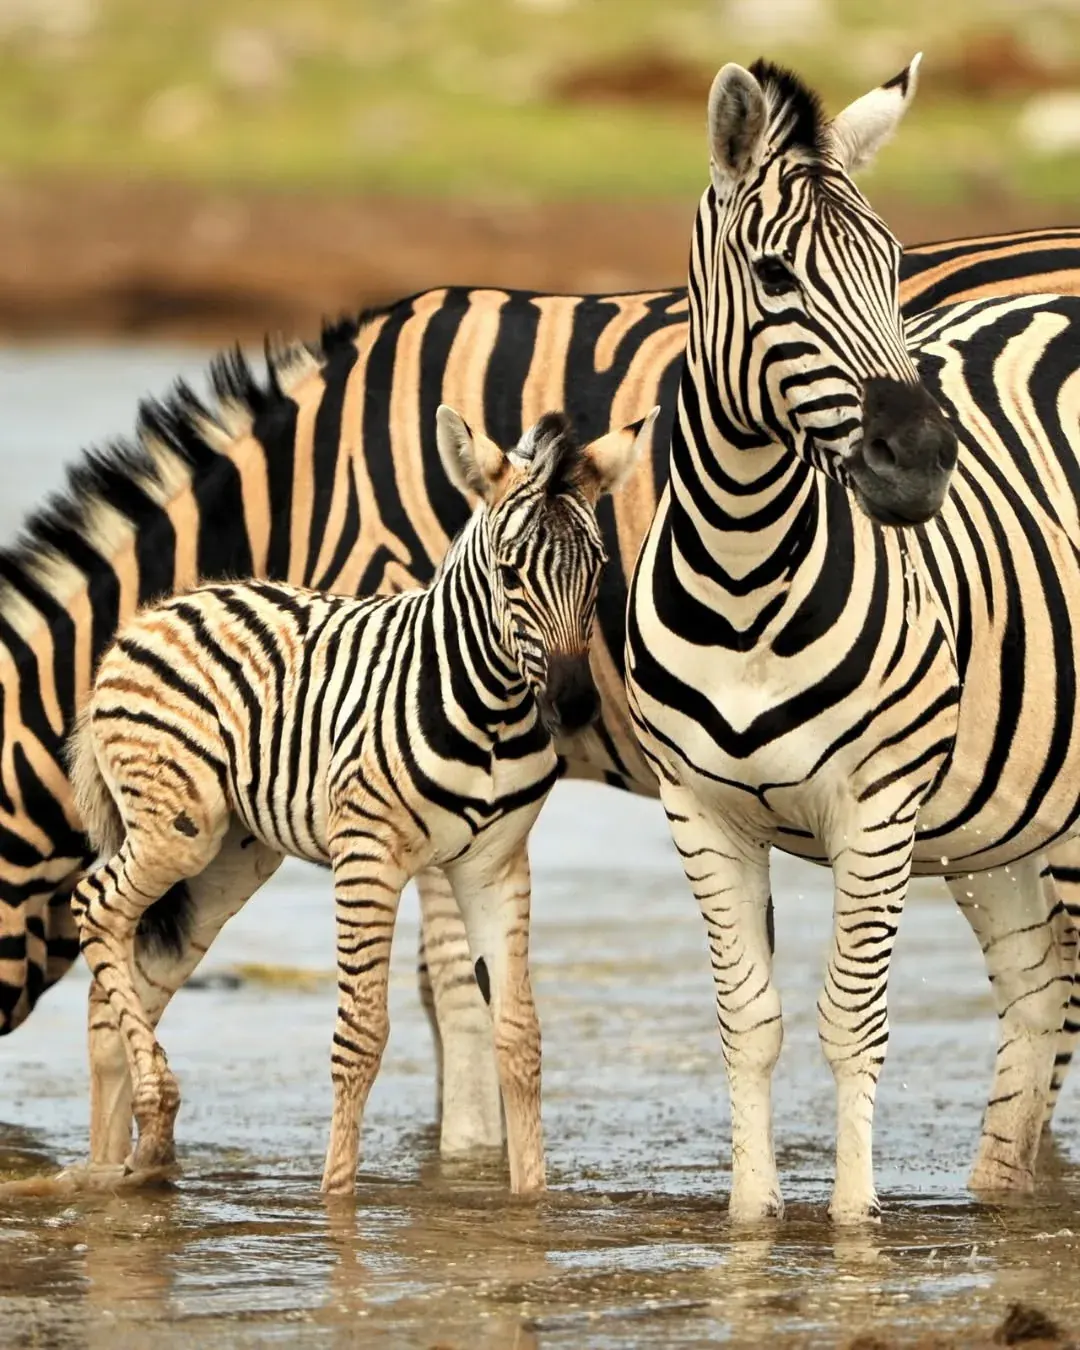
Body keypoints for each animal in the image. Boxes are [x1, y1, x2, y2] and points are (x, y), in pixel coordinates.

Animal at [65, 405, 654, 1192]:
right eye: (509, 574)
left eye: (598, 569)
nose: (577, 705)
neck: (494, 711)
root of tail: (158, 610)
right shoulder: (369, 855)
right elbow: (362, 1036)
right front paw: (335, 1198)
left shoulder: (496, 864)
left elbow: (519, 1036)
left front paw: (531, 1199)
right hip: (178, 829)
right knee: (94, 904)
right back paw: (157, 1113)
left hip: (230, 855)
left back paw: (129, 1155)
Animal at [625, 53, 1080, 1223]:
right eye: (775, 276)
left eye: (893, 265)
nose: (919, 459)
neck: (745, 575)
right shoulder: (701, 814)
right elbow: (751, 1024)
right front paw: (752, 1225)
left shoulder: (876, 809)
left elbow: (853, 1023)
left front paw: (853, 1229)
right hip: (1004, 824)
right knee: (1036, 998)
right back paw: (994, 1198)